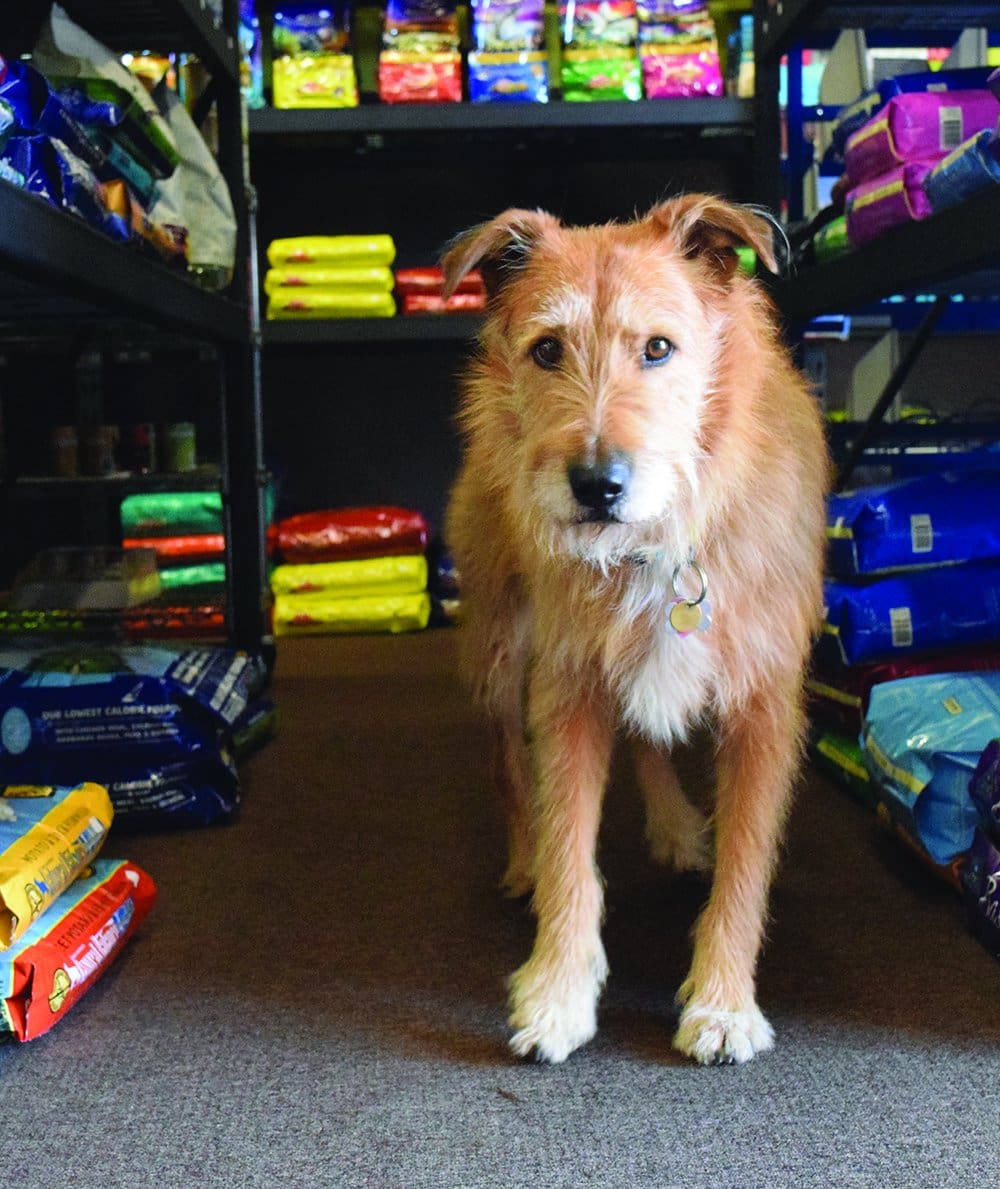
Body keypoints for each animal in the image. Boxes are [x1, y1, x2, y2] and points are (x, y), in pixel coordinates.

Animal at [442, 194, 827, 1070]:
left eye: (658, 348)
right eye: (547, 350)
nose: (597, 484)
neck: (658, 543)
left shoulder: (764, 709)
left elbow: (745, 868)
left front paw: (722, 1001)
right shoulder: (566, 690)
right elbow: (568, 850)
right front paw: (558, 991)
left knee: (649, 733)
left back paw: (678, 827)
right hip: (497, 654)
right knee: (507, 767)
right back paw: (523, 857)